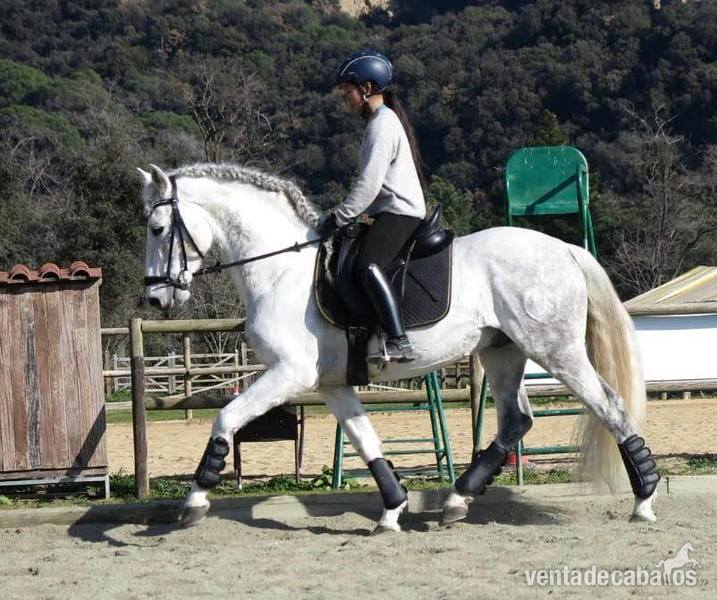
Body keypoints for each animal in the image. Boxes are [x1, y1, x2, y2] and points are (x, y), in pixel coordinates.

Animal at [137, 162, 660, 532]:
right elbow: (366, 440)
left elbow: (226, 417)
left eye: (158, 229)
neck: (280, 269)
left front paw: (194, 501)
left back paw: (644, 498)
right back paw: (455, 499)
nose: (156, 298)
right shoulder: (329, 384)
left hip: (557, 350)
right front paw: (393, 510)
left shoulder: (289, 374)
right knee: (516, 420)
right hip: (502, 351)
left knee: (609, 405)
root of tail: (565, 249)